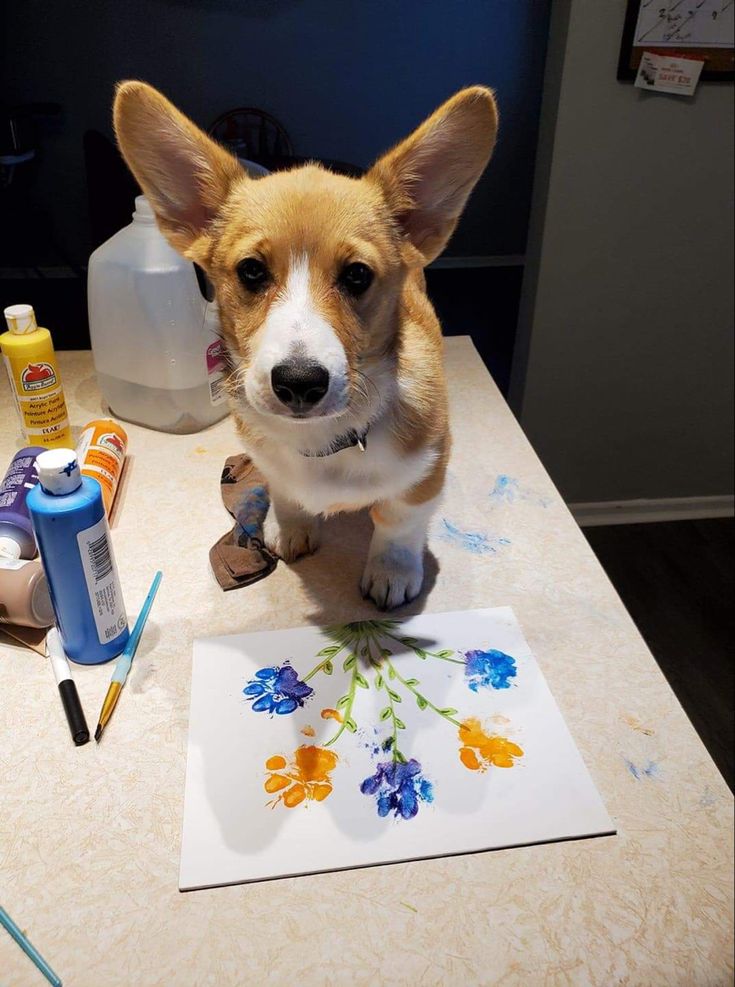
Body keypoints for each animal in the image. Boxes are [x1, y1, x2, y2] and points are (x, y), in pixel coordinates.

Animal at [112, 83, 498, 608]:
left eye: (357, 275)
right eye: (251, 271)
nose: (299, 383)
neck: (322, 441)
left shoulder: (424, 473)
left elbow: (398, 521)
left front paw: (392, 571)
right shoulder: (271, 465)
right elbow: (285, 493)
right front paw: (290, 527)